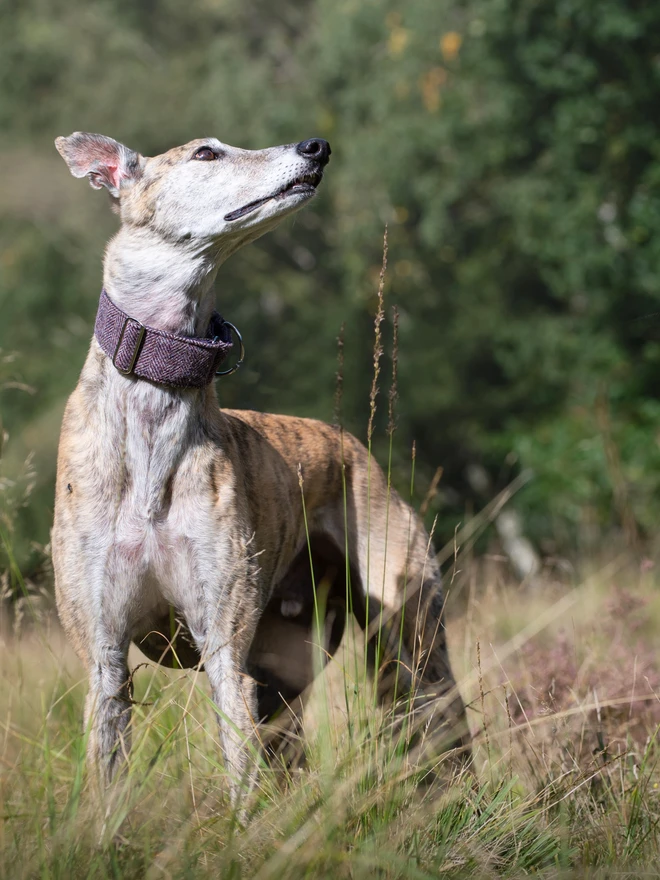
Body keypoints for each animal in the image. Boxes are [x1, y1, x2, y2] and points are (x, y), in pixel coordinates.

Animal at [54, 132, 472, 804]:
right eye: (205, 153)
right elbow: (106, 785)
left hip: (410, 637)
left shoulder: (225, 648)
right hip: (286, 675)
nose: (317, 146)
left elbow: (241, 783)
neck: (154, 390)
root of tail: (352, 447)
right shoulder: (104, 656)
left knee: (446, 724)